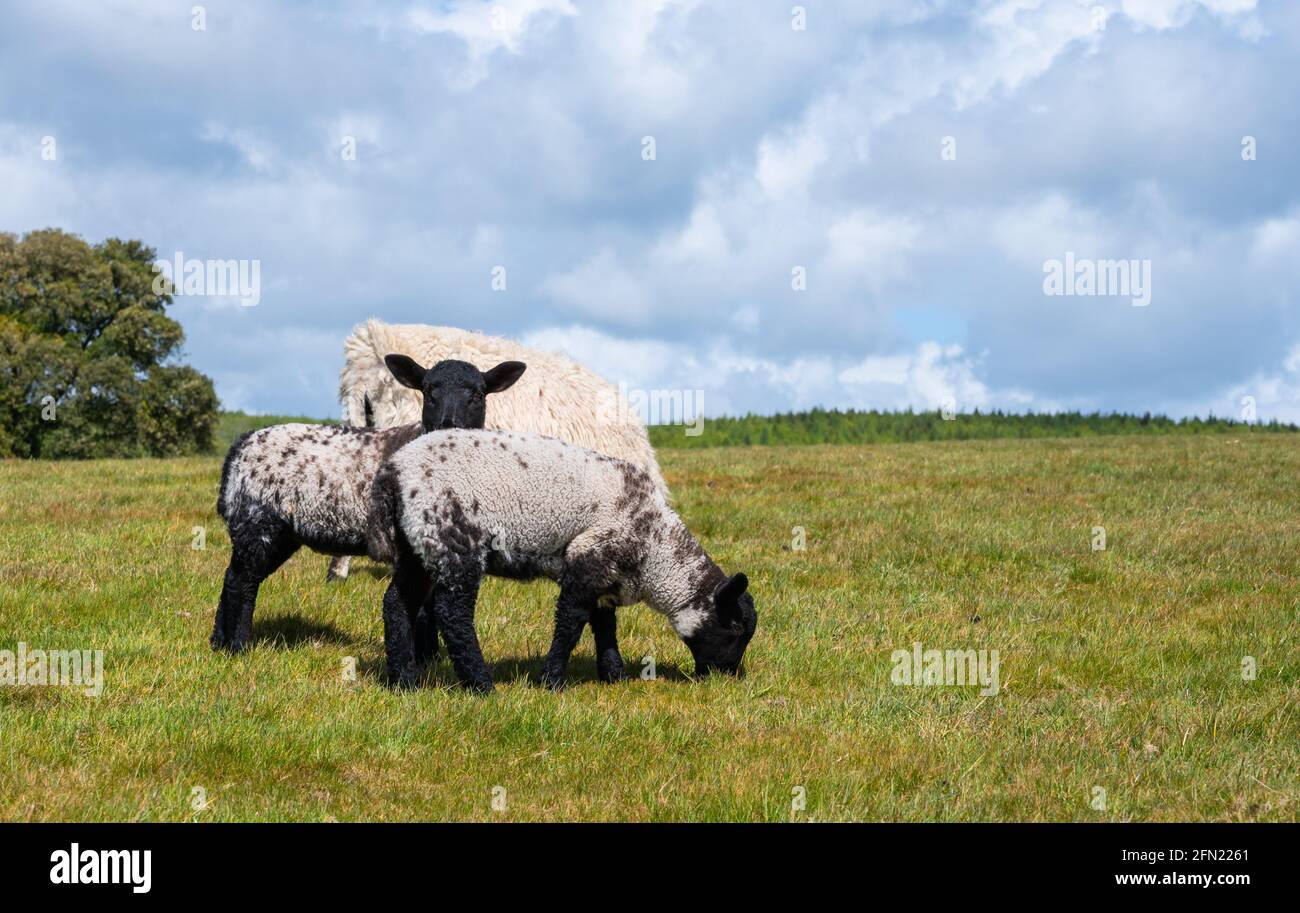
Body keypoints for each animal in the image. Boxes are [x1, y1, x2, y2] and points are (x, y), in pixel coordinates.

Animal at [208, 353, 522, 655]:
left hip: (279, 532)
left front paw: (430, 655)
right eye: (428, 391)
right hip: (258, 520)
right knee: (242, 583)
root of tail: (242, 443)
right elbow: (422, 605)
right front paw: (424, 655)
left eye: (478, 394)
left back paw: (218, 643)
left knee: (232, 575)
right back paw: (238, 646)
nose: (448, 426)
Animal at [366, 429, 759, 691]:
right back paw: (481, 684)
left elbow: (605, 625)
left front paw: (614, 676)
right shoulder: (587, 558)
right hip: (452, 537)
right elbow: (571, 623)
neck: (655, 549)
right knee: (452, 614)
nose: (725, 677)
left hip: (416, 544)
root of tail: (393, 472)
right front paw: (551, 680)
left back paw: (403, 680)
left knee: (396, 602)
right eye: (736, 629)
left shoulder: (607, 574)